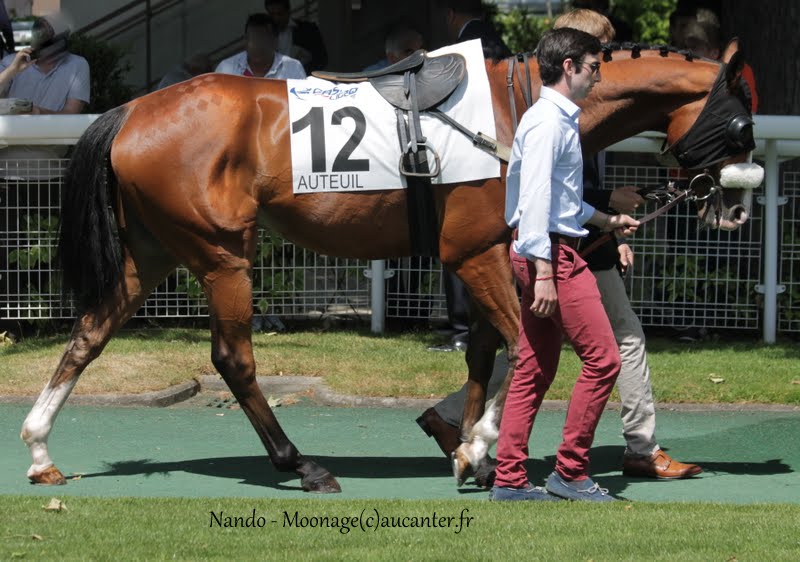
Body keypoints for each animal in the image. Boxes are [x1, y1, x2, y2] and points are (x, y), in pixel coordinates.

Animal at [18, 43, 756, 490]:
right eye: (743, 123)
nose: (737, 208)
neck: (519, 108)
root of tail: (131, 109)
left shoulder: (483, 254)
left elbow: (485, 355)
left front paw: (467, 444)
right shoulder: (477, 254)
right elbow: (522, 345)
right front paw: (477, 448)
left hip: (153, 250)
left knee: (88, 333)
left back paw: (39, 448)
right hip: (223, 253)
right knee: (232, 358)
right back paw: (302, 464)